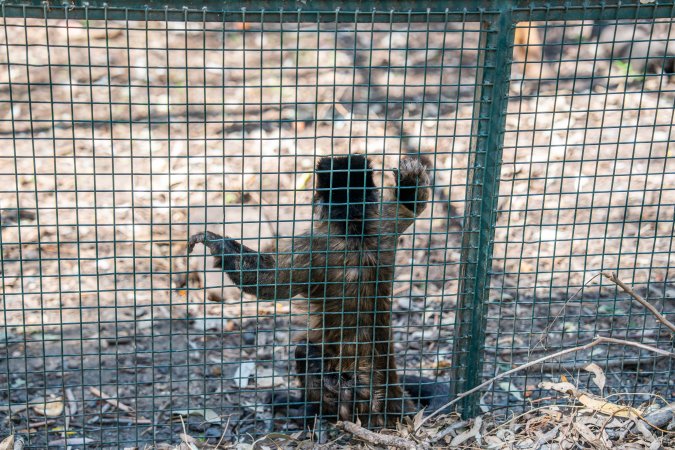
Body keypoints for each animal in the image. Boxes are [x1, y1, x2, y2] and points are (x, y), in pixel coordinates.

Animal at [188, 154, 451, 428]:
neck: (354, 226)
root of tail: (391, 397)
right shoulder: (381, 224)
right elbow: (411, 209)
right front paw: (410, 181)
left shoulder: (314, 245)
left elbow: (268, 282)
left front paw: (218, 243)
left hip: (345, 394)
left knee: (305, 351)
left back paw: (307, 412)